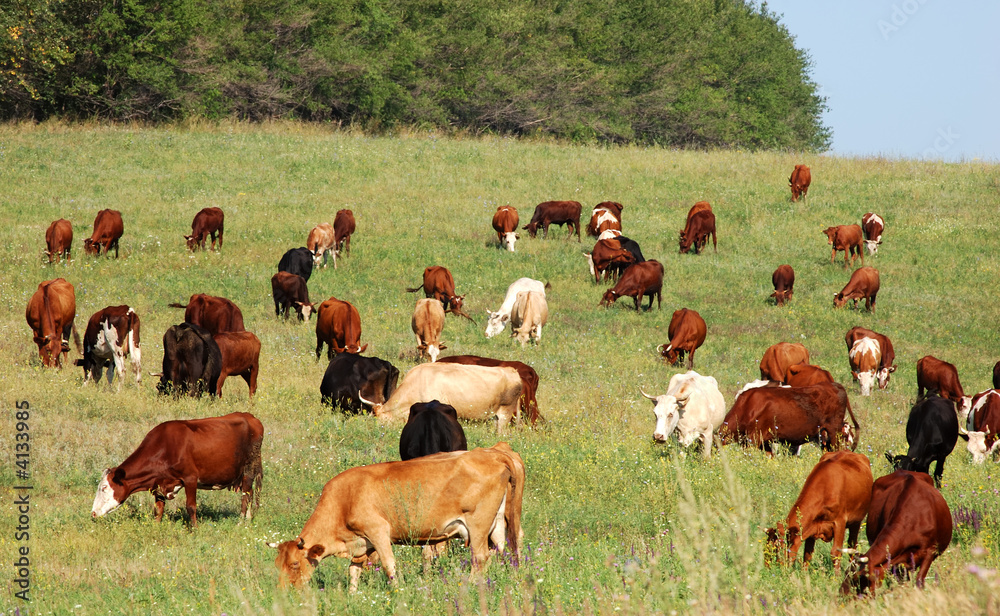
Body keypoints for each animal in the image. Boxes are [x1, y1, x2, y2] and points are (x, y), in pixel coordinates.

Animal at [92, 412, 264, 527]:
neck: (164, 448)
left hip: (249, 469)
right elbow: (159, 509)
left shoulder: (190, 478)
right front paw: (156, 527)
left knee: (246, 495)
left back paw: (241, 522)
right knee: (250, 493)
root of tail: (250, 417)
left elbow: (191, 507)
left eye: (104, 487)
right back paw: (249, 519)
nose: (93, 513)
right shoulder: (159, 483)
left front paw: (194, 529)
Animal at [270, 443, 524, 592]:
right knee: (501, 548)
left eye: (294, 564)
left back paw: (469, 586)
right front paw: (352, 596)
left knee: (480, 556)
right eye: (277, 565)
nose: (284, 593)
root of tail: (495, 453)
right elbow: (354, 569)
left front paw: (397, 593)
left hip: (478, 523)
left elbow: (389, 565)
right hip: (497, 521)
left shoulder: (378, 531)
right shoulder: (363, 543)